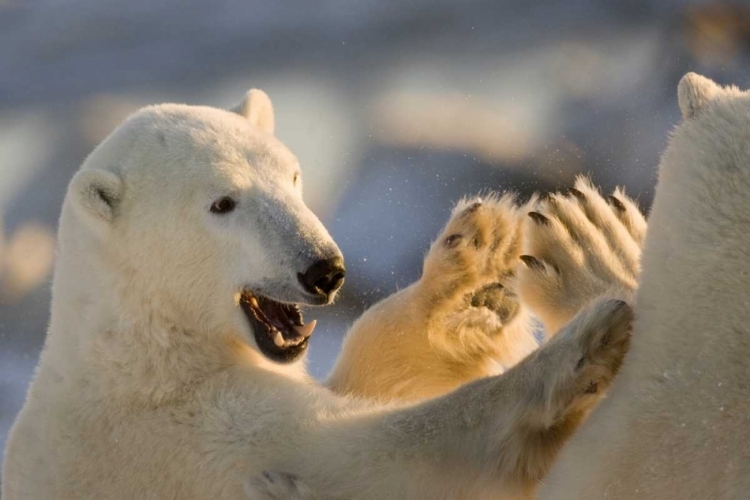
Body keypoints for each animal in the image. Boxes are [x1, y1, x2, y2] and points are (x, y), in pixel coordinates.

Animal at [1, 88, 636, 498]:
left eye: (292, 175)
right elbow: (376, 456)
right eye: (223, 203)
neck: (146, 351)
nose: (324, 270)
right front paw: (584, 346)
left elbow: (364, 381)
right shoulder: (187, 441)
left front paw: (471, 276)